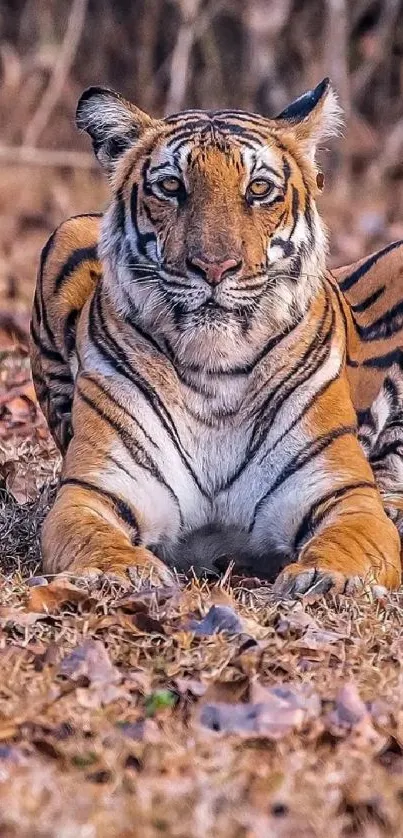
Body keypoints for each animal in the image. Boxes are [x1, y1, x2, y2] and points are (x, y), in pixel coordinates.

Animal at [30, 75, 403, 592]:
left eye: (260, 189)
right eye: (171, 186)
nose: (214, 267)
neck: (215, 372)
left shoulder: (344, 493)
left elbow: (354, 539)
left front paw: (327, 578)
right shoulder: (93, 491)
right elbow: (93, 539)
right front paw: (121, 574)